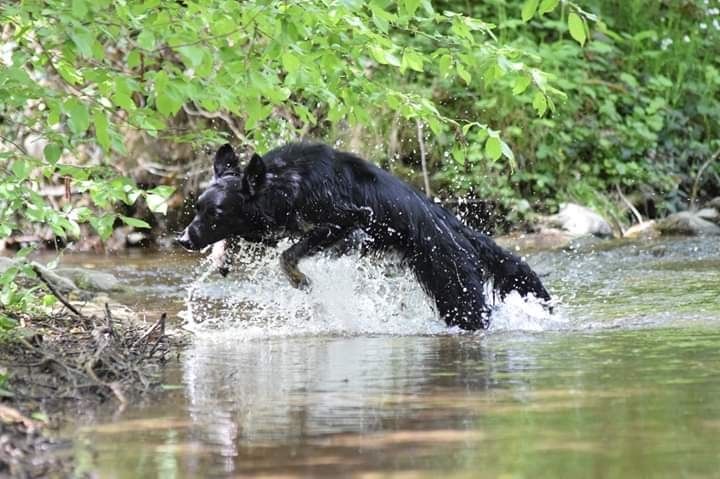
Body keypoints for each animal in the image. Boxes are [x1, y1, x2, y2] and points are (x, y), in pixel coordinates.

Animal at [177, 142, 548, 330]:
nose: (184, 240)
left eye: (216, 213)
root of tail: (459, 230)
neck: (288, 184)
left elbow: (290, 254)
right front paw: (221, 257)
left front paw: (299, 279)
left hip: (456, 290)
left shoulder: (350, 219)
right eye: (197, 208)